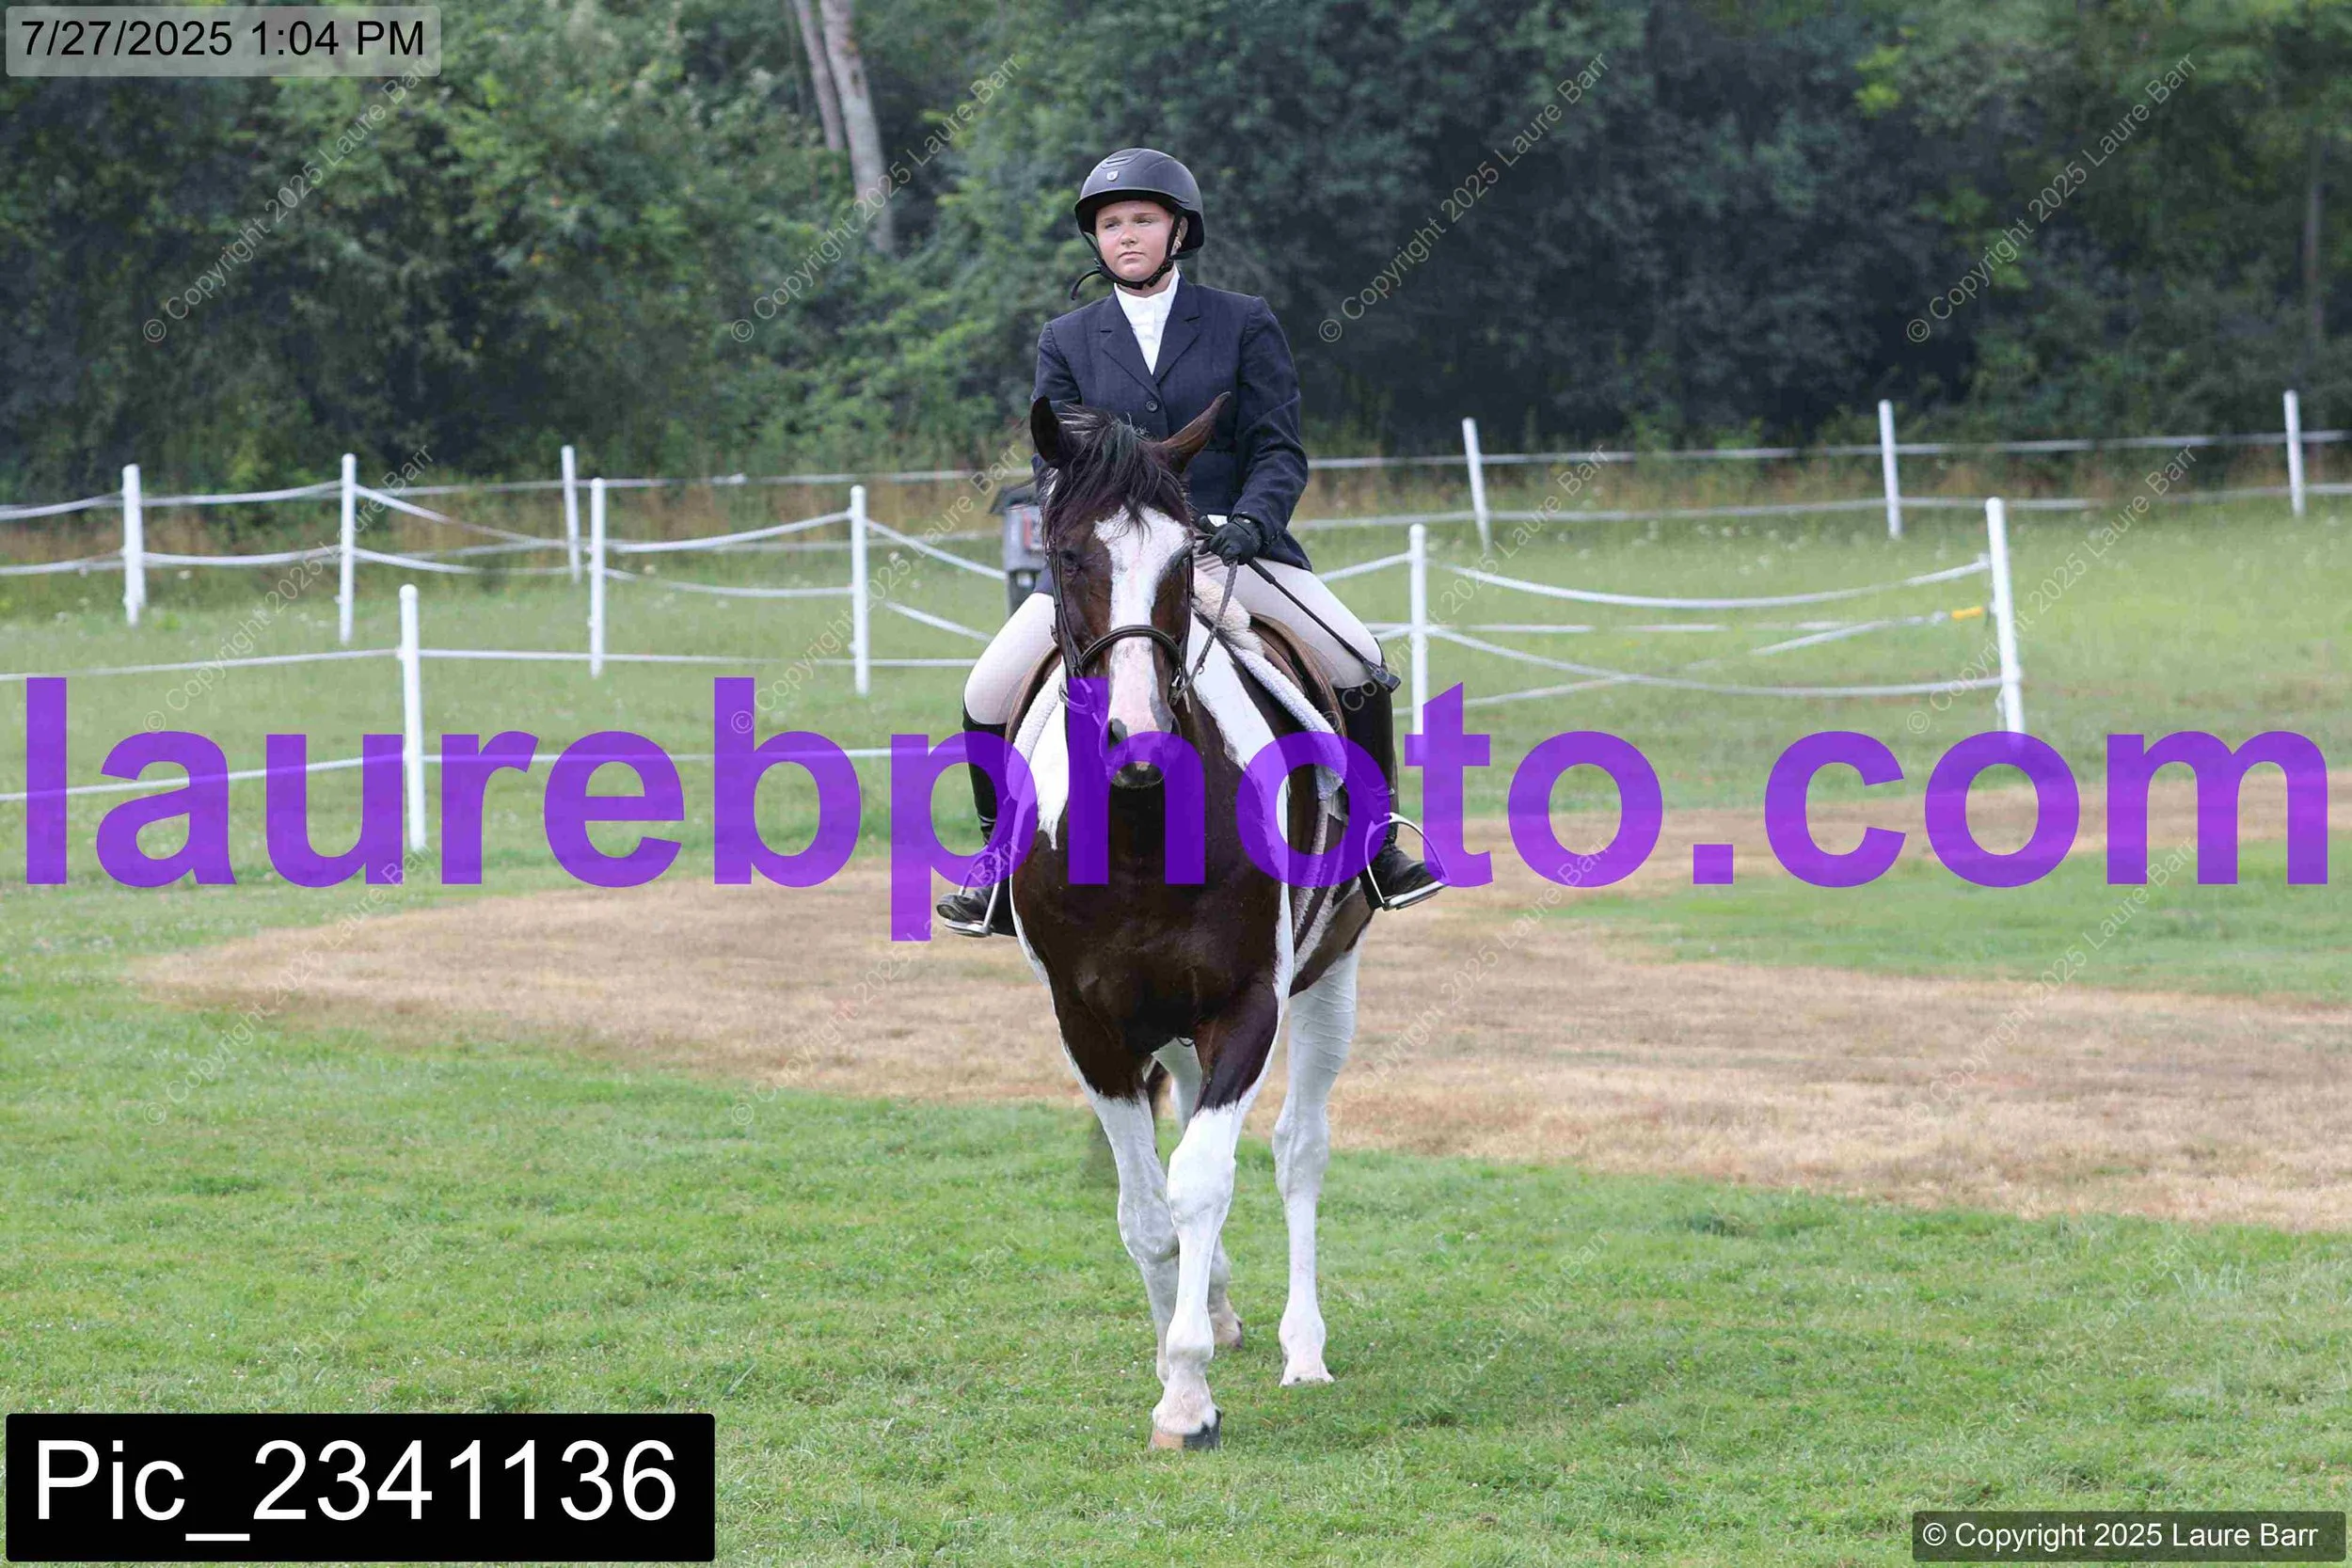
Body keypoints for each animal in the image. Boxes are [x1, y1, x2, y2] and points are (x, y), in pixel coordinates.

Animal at [1002, 393, 1377, 1450]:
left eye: (1183, 560)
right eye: (1067, 554)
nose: (1137, 742)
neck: (1138, 827)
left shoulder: (1249, 1002)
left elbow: (1203, 1179)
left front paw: (1186, 1396)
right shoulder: (1087, 1022)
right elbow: (1145, 1206)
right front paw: (1184, 1342)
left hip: (1330, 977)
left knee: (1298, 1150)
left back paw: (1302, 1346)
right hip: (1159, 1018)